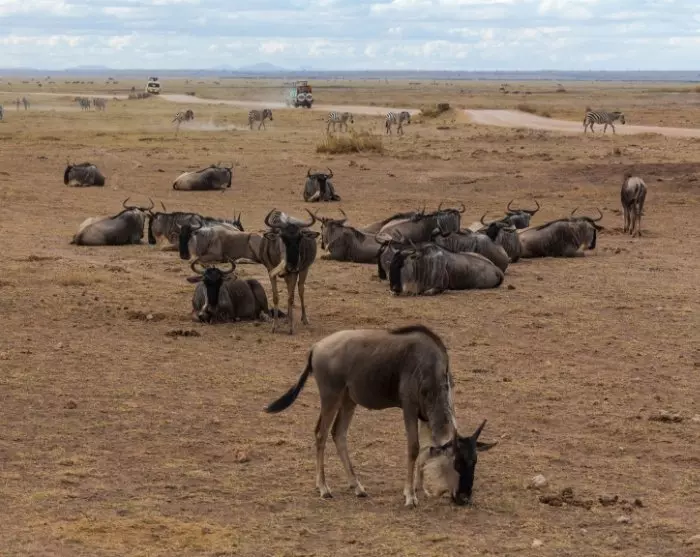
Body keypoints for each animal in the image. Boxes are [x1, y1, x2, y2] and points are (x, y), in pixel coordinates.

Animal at [264, 324, 497, 507]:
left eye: (474, 461)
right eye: (457, 463)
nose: (465, 498)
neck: (432, 365)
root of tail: (316, 347)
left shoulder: (424, 416)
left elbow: (426, 449)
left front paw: (421, 488)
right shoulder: (409, 409)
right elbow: (414, 448)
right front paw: (410, 496)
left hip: (349, 401)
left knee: (338, 434)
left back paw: (357, 486)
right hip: (331, 397)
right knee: (321, 435)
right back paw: (323, 488)